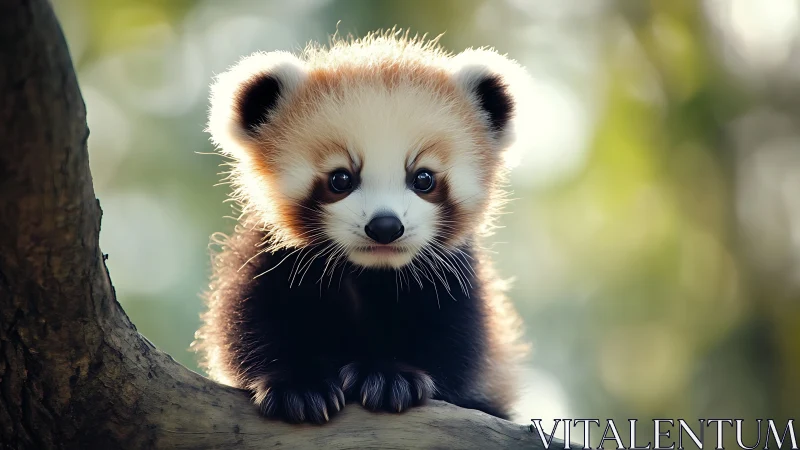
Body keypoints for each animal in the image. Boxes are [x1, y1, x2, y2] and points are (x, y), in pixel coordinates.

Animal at [193, 30, 530, 424]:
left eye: (424, 179)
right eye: (340, 179)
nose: (385, 226)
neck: (370, 272)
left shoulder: (454, 277)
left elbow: (456, 343)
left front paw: (391, 376)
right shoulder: (269, 259)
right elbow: (245, 326)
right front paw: (300, 385)